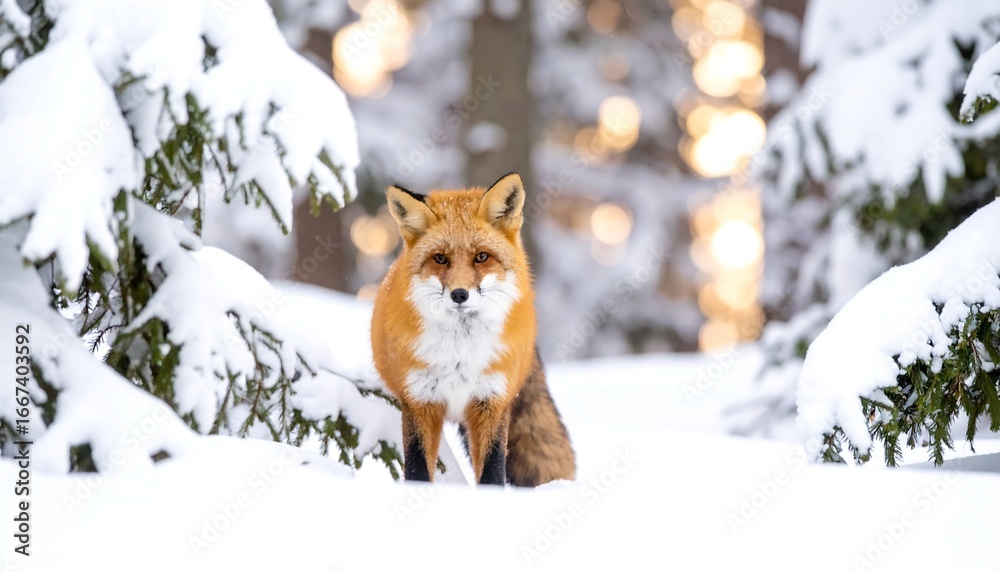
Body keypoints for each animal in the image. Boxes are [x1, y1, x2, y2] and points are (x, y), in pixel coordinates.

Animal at [370, 173, 576, 486]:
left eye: (481, 257)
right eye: (440, 258)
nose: (459, 294)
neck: (460, 354)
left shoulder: (491, 402)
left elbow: (492, 470)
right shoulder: (420, 401)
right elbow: (417, 469)